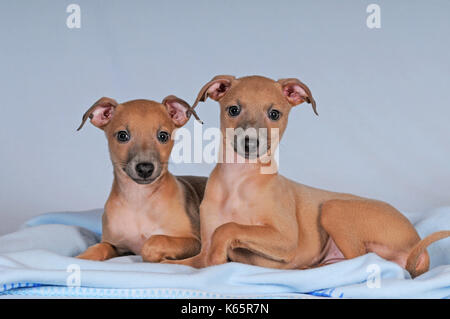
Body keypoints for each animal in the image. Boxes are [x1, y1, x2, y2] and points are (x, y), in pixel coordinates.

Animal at [76, 95, 207, 262]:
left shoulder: (195, 241)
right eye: (122, 135)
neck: (139, 199)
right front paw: (83, 257)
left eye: (163, 136)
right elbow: (100, 247)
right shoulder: (115, 245)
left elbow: (154, 241)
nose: (145, 168)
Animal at [170, 74, 450, 278]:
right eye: (233, 110)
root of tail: (415, 241)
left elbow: (228, 227)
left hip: (334, 209)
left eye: (274, 114)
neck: (238, 181)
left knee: (360, 259)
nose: (250, 143)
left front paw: (219, 257)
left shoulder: (286, 240)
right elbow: (191, 255)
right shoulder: (202, 249)